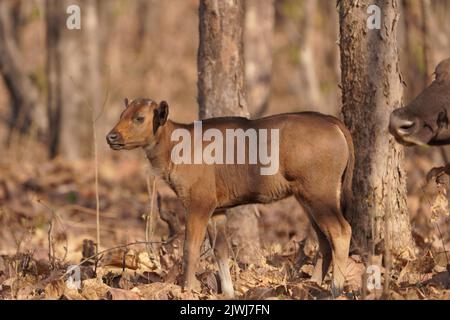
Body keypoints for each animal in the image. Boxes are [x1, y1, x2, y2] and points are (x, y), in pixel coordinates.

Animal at [106, 99, 356, 298]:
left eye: (139, 118)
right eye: (122, 115)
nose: (111, 136)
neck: (175, 147)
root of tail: (333, 122)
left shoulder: (199, 204)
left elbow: (190, 249)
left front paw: (187, 288)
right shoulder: (217, 211)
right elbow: (220, 251)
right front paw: (228, 291)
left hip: (319, 194)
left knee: (341, 231)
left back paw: (335, 288)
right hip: (307, 197)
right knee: (324, 240)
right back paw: (312, 285)